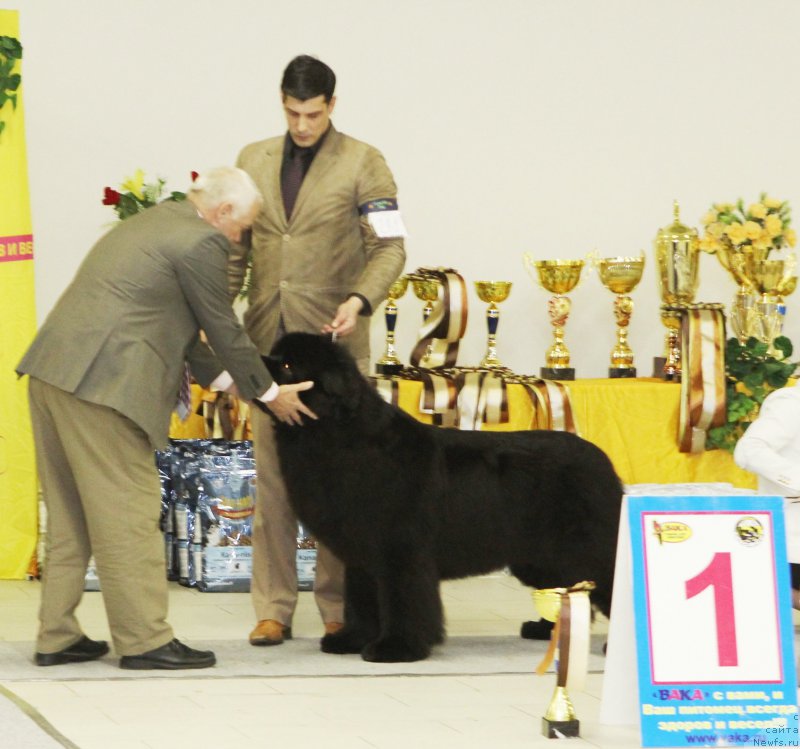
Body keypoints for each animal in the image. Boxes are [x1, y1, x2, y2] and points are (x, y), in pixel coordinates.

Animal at [264, 334, 624, 660]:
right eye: (275, 354)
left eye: (288, 365)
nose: (262, 361)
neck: (342, 435)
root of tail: (604, 462)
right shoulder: (361, 551)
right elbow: (361, 598)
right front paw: (352, 639)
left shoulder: (400, 548)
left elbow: (402, 598)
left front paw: (396, 647)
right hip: (542, 556)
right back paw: (548, 630)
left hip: (584, 547)